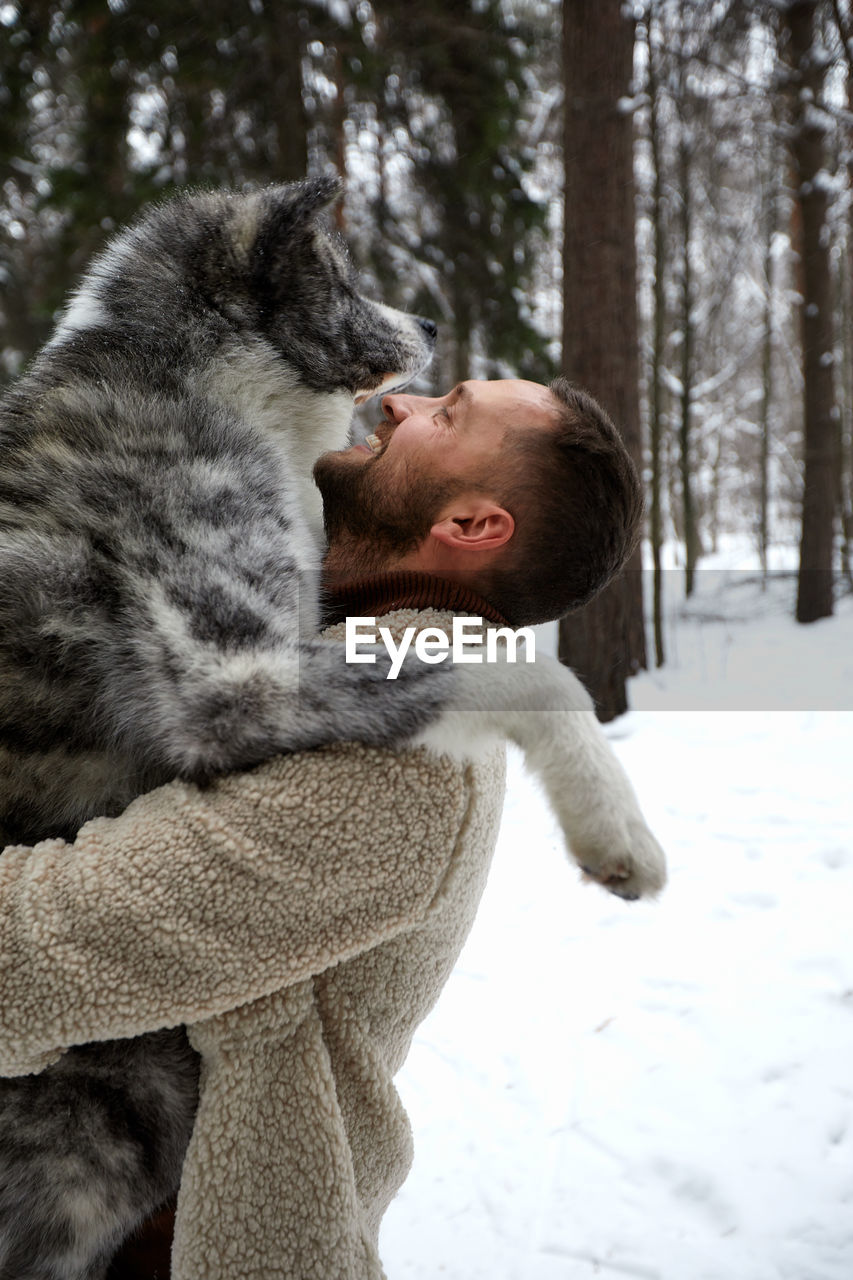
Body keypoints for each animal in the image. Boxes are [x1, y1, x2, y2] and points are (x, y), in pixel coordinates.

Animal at [0, 175, 666, 1274]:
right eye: (345, 277)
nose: (432, 325)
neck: (182, 376)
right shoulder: (232, 682)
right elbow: (524, 663)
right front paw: (615, 828)